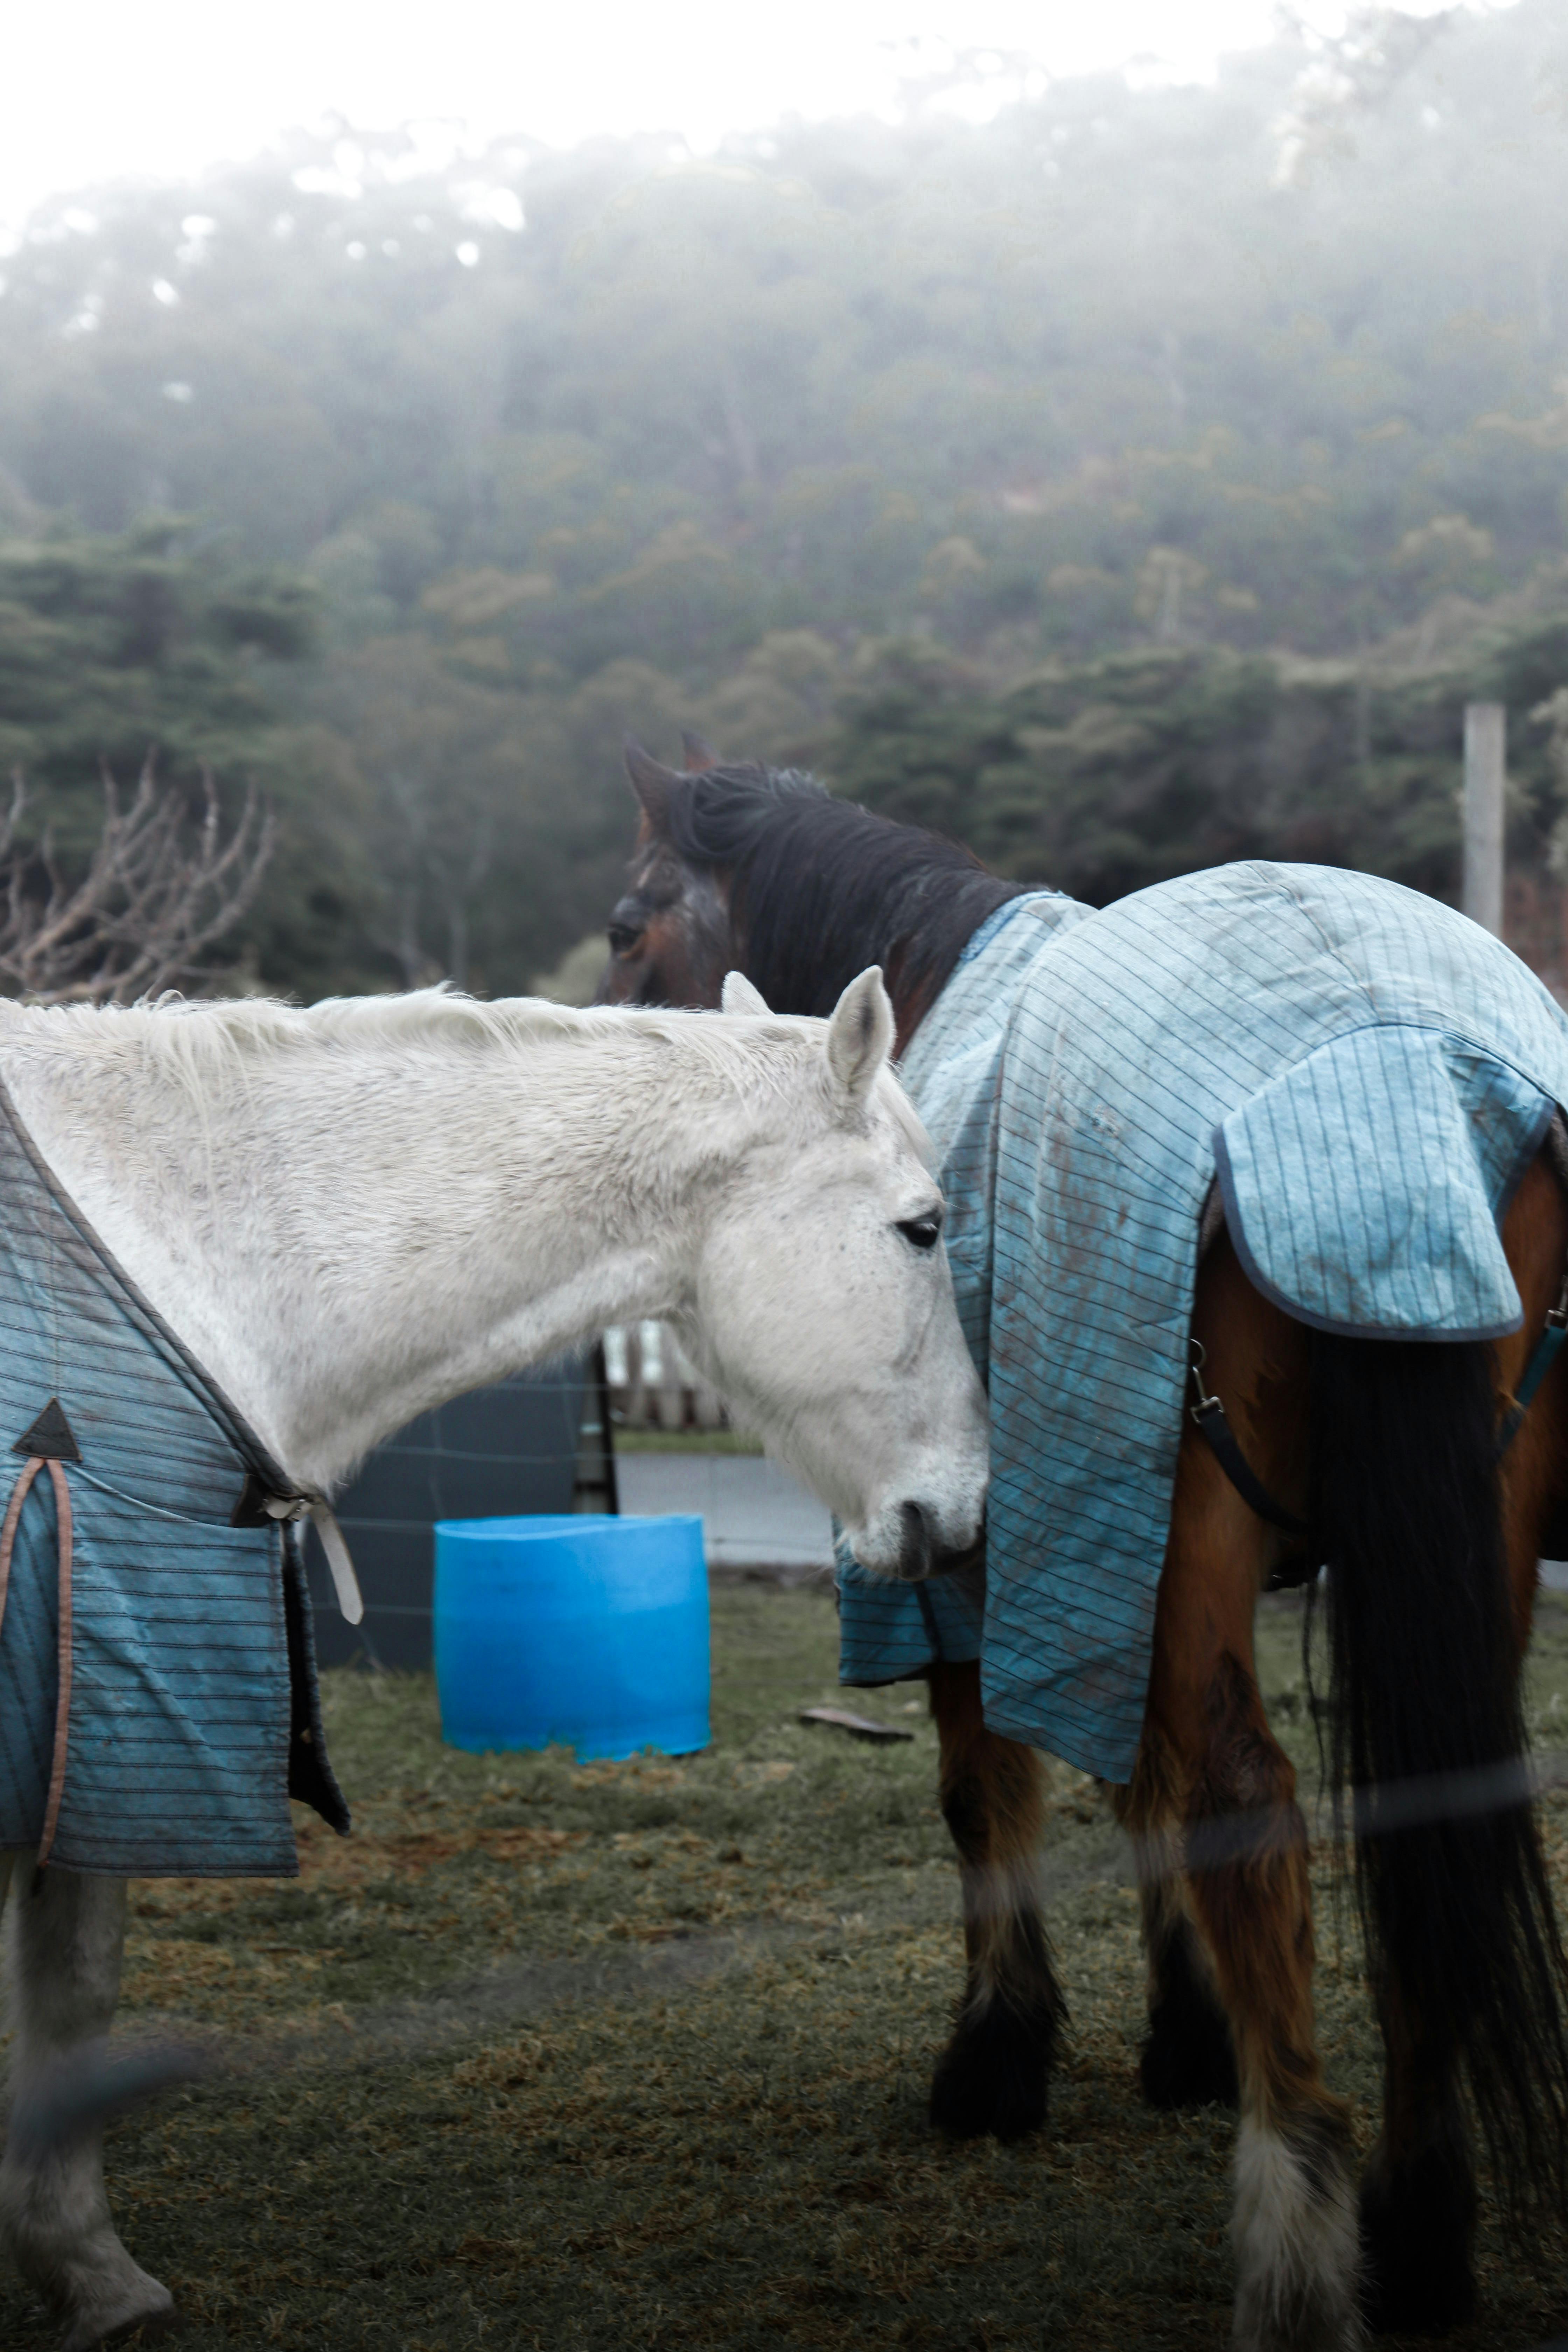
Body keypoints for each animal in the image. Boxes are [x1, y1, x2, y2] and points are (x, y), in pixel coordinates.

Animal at [0, 973, 989, 2350]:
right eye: (921, 1228)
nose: (965, 1513)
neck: (182, 1253)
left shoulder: (103, 1726)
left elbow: (71, 2000)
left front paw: (88, 2273)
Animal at [598, 739, 1568, 2352]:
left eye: (624, 930)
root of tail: (1390, 1059)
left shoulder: (983, 1554)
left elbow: (993, 1791)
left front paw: (999, 2054)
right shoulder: (1087, 1554)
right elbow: (1139, 1786)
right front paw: (1186, 2032)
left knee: (1248, 1801)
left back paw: (1297, 2232)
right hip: (1468, 1524)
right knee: (1416, 1813)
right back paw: (1421, 2226)